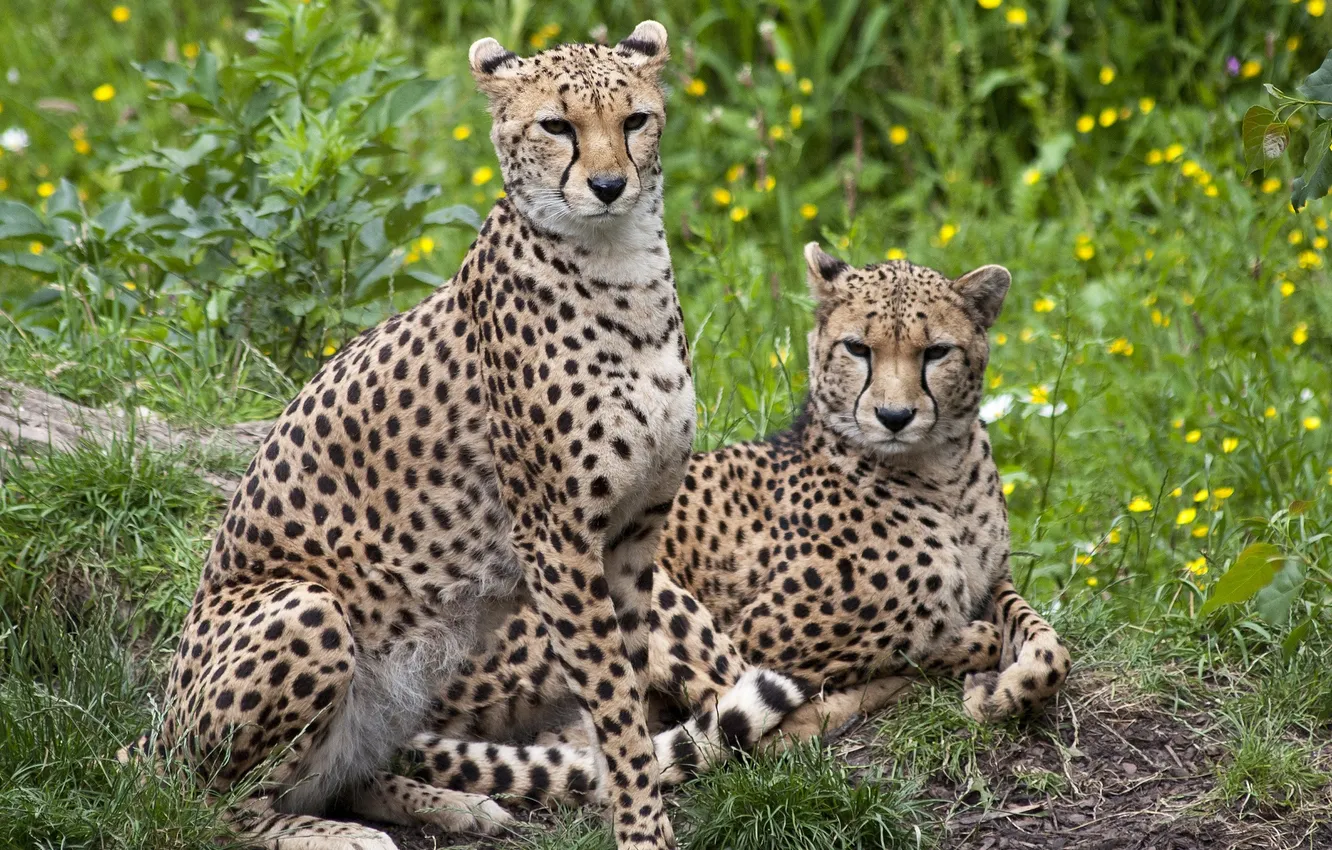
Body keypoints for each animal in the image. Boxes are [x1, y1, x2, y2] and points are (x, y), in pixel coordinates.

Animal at [121, 22, 712, 850]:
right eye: (556, 126)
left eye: (636, 121)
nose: (608, 186)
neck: (621, 266)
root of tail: (154, 733)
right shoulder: (558, 538)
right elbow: (618, 709)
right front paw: (642, 830)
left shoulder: (631, 530)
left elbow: (622, 689)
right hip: (305, 612)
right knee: (210, 806)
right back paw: (337, 835)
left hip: (415, 668)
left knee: (335, 773)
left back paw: (451, 803)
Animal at [397, 244, 1072, 811]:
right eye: (858, 349)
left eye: (936, 352)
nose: (894, 415)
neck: (939, 469)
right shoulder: (766, 633)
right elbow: (921, 639)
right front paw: (963, 663)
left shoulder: (996, 579)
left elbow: (1048, 641)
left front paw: (1012, 687)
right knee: (749, 730)